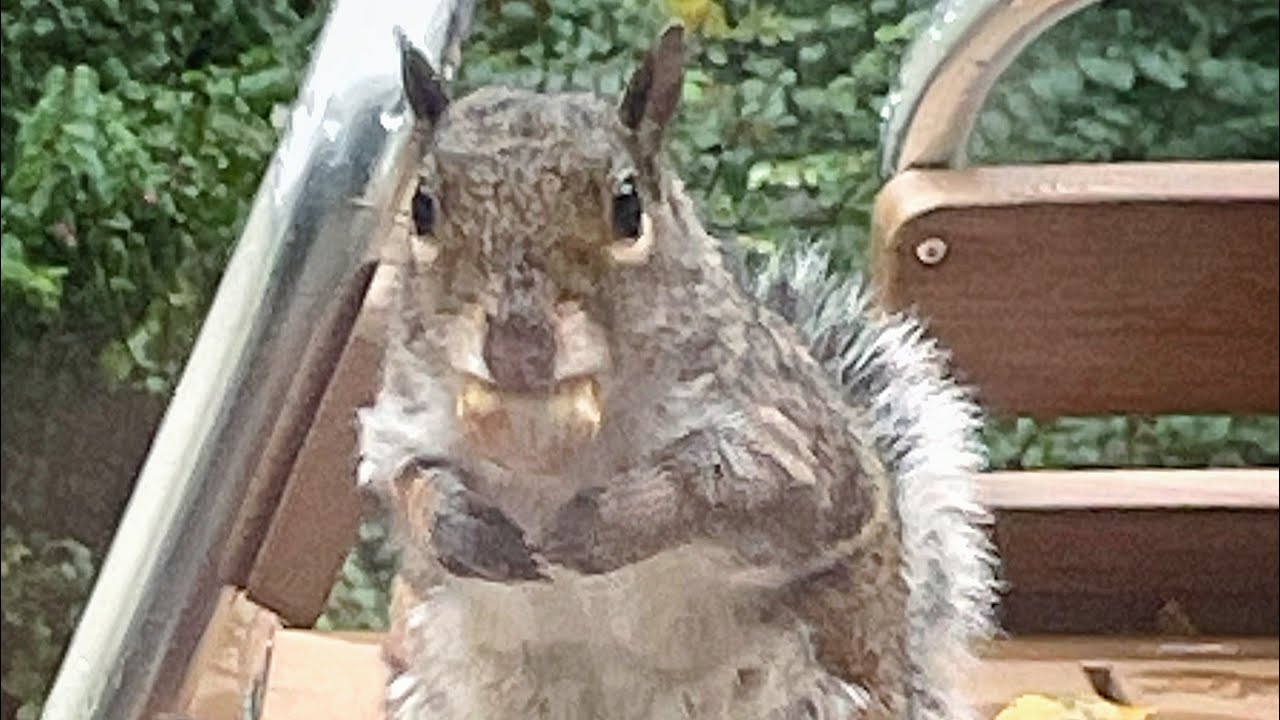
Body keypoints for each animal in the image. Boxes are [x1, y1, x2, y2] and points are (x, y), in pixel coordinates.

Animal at [357, 24, 998, 720]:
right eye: (423, 206)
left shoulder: (795, 430)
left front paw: (614, 518)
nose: (518, 346)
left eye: (628, 207)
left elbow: (764, 485)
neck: (553, 455)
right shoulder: (402, 426)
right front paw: (459, 524)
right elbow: (409, 488)